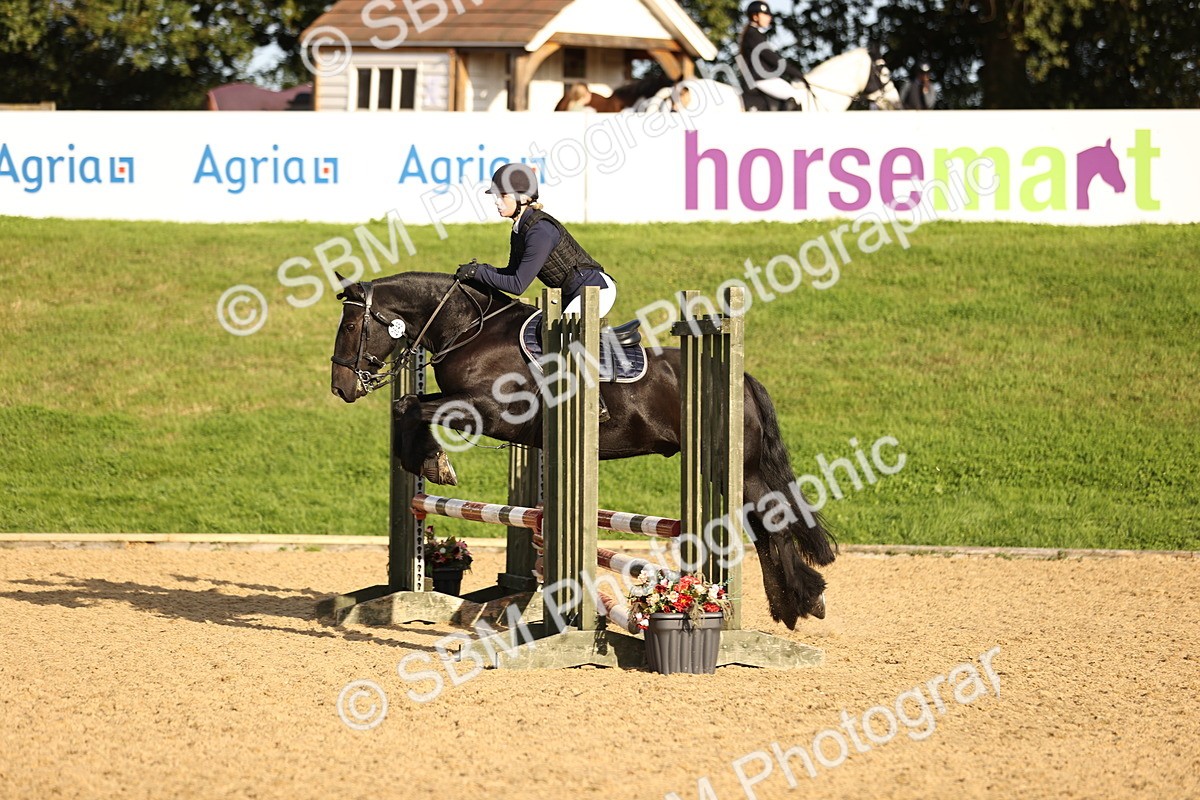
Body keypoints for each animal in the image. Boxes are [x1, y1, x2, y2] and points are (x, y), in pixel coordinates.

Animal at [328, 271, 838, 629]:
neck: (470, 329)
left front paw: (434, 462)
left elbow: (415, 408)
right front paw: (427, 461)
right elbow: (408, 406)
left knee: (771, 521)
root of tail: (742, 379)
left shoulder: (489, 410)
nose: (340, 387)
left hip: (736, 467)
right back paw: (795, 602)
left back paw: (799, 602)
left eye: (351, 324)